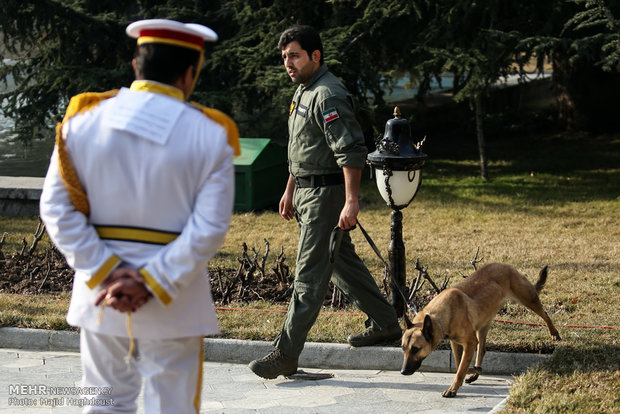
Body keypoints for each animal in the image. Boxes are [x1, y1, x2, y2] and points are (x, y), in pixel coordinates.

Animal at [400, 264, 560, 396]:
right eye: (403, 348)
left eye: (415, 349)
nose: (403, 372)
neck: (437, 316)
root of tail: (506, 265)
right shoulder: (456, 342)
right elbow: (459, 364)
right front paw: (471, 371)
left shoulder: (470, 342)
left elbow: (460, 369)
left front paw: (453, 389)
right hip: (483, 326)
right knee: (482, 350)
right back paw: (475, 372)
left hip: (528, 299)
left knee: (546, 315)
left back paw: (554, 333)